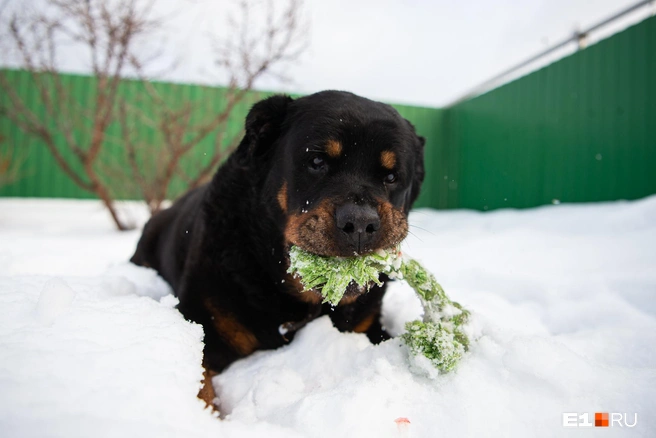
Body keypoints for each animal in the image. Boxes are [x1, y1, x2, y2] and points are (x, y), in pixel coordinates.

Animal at [130, 90, 426, 406]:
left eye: (392, 177)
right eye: (317, 161)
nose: (360, 222)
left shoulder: (369, 325)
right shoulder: (202, 323)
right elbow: (201, 387)